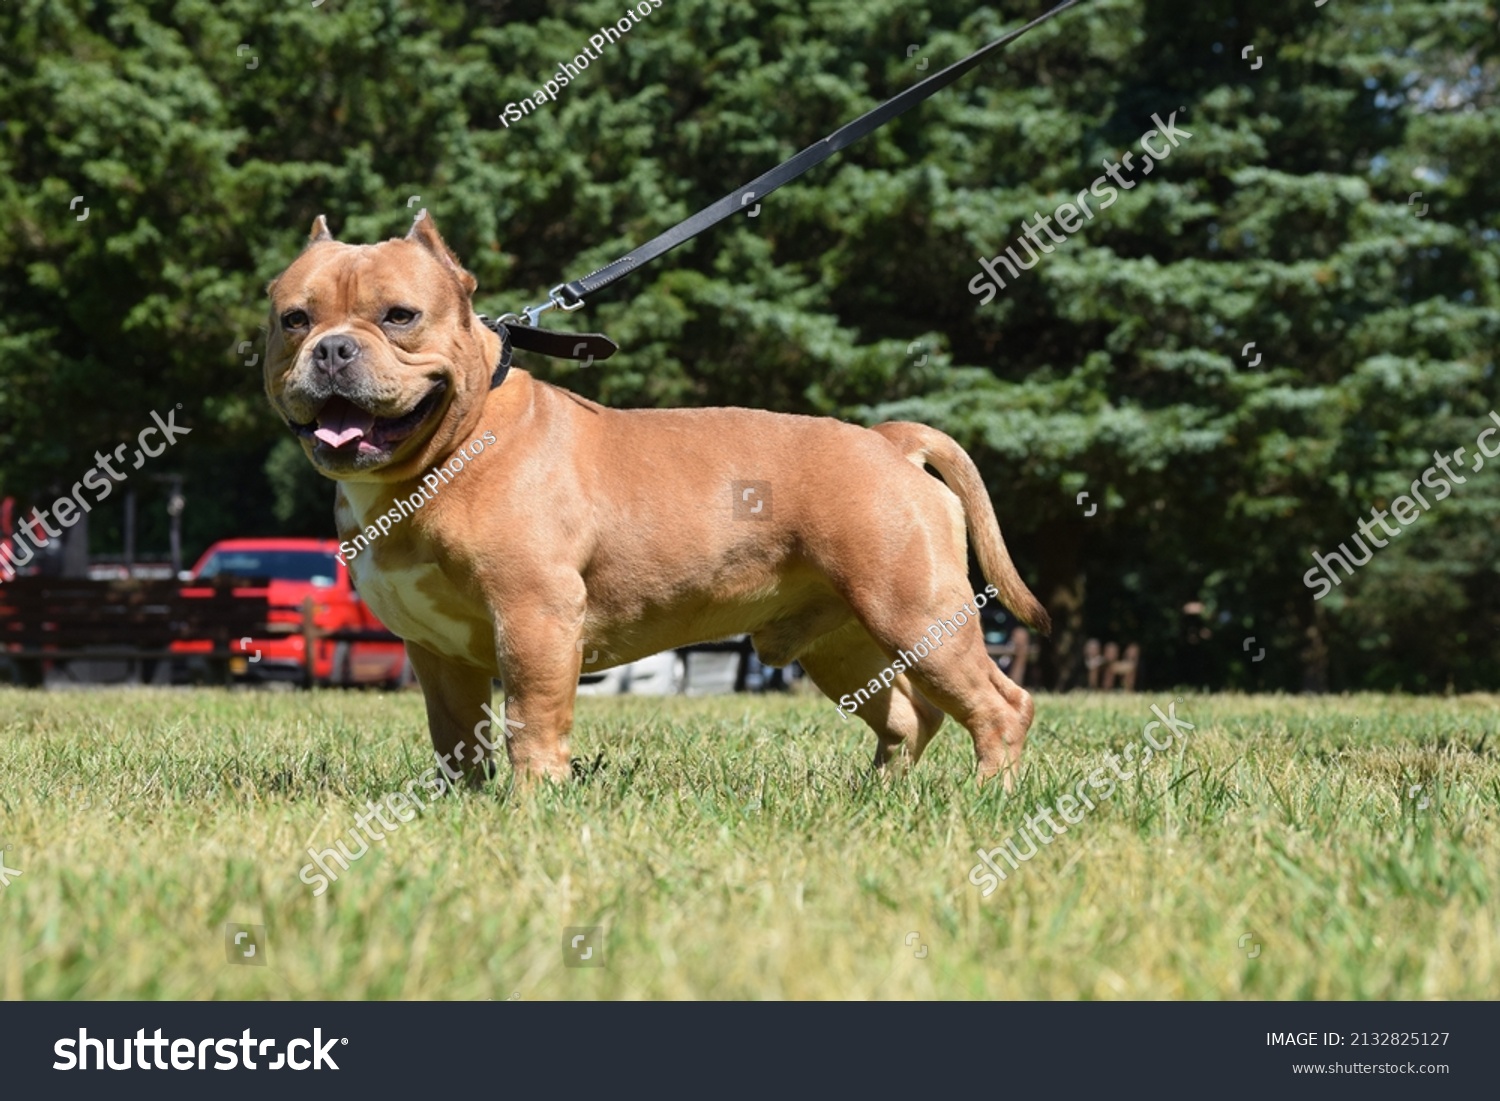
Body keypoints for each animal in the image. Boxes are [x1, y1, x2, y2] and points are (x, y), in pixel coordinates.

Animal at [264, 211, 1050, 792]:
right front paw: (464, 802)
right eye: (293, 319)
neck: (445, 449)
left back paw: (987, 797)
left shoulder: (534, 616)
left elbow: (530, 720)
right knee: (909, 719)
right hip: (843, 643)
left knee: (1000, 706)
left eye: (399, 316)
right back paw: (881, 797)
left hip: (918, 615)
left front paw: (533, 803)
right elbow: (455, 735)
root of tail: (890, 440)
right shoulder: (436, 650)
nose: (332, 349)